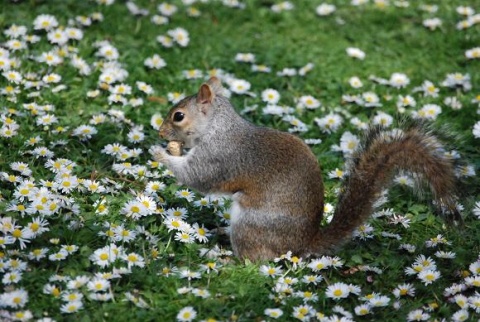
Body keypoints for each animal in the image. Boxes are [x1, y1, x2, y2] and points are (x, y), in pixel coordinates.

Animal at [151, 76, 462, 262]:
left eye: (178, 116)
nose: (160, 133)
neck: (217, 127)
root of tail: (302, 246)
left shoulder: (218, 158)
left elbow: (197, 177)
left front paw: (162, 154)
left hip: (251, 224)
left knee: (255, 261)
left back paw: (225, 258)